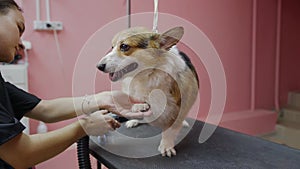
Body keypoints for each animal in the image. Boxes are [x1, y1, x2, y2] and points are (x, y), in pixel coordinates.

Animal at [96, 26, 199, 157]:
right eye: (112, 46)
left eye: (124, 46)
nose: (99, 66)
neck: (149, 75)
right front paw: (139, 107)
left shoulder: (180, 108)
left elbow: (170, 130)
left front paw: (166, 145)